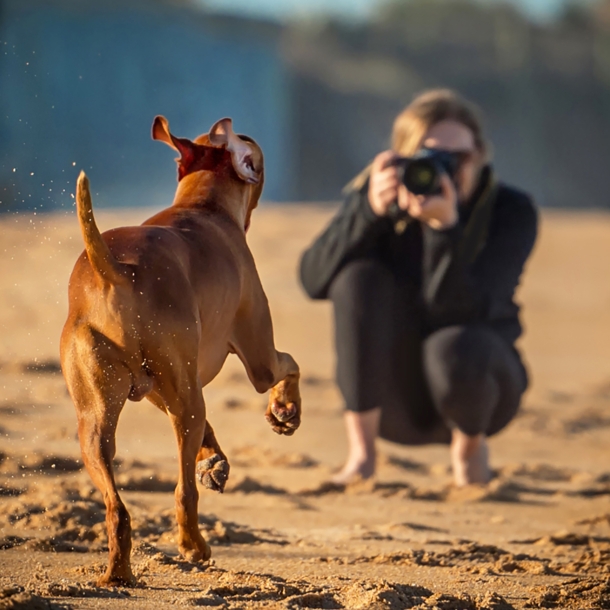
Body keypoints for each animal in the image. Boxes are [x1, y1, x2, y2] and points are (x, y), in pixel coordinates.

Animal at [59, 115, 302, 584]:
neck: (201, 205)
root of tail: (113, 271)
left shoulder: (159, 388)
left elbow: (209, 433)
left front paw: (215, 462)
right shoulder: (257, 358)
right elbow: (287, 366)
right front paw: (285, 410)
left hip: (95, 419)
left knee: (117, 506)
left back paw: (118, 571)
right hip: (186, 400)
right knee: (183, 491)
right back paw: (194, 546)